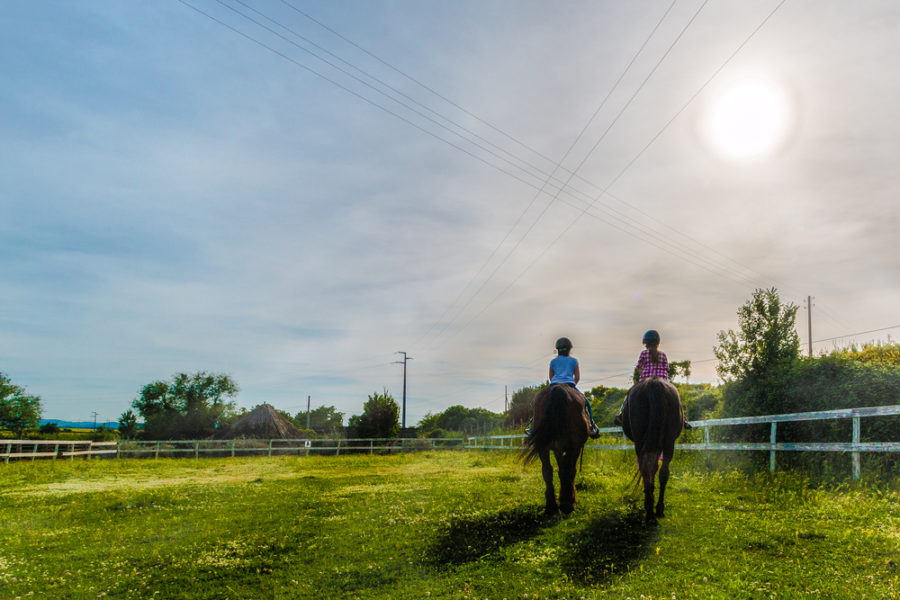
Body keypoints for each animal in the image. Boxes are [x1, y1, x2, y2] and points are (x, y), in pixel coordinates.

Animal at [520, 384, 592, 516]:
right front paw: (569, 498)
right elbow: (570, 470)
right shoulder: (574, 448)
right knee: (568, 470)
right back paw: (566, 504)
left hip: (543, 446)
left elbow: (560, 469)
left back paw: (551, 506)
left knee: (547, 470)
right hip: (573, 446)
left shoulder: (557, 449)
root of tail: (559, 388)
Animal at [624, 378, 684, 524]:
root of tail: (654, 383)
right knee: (663, 472)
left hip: (640, 440)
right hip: (669, 441)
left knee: (646, 468)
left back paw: (649, 510)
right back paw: (658, 509)